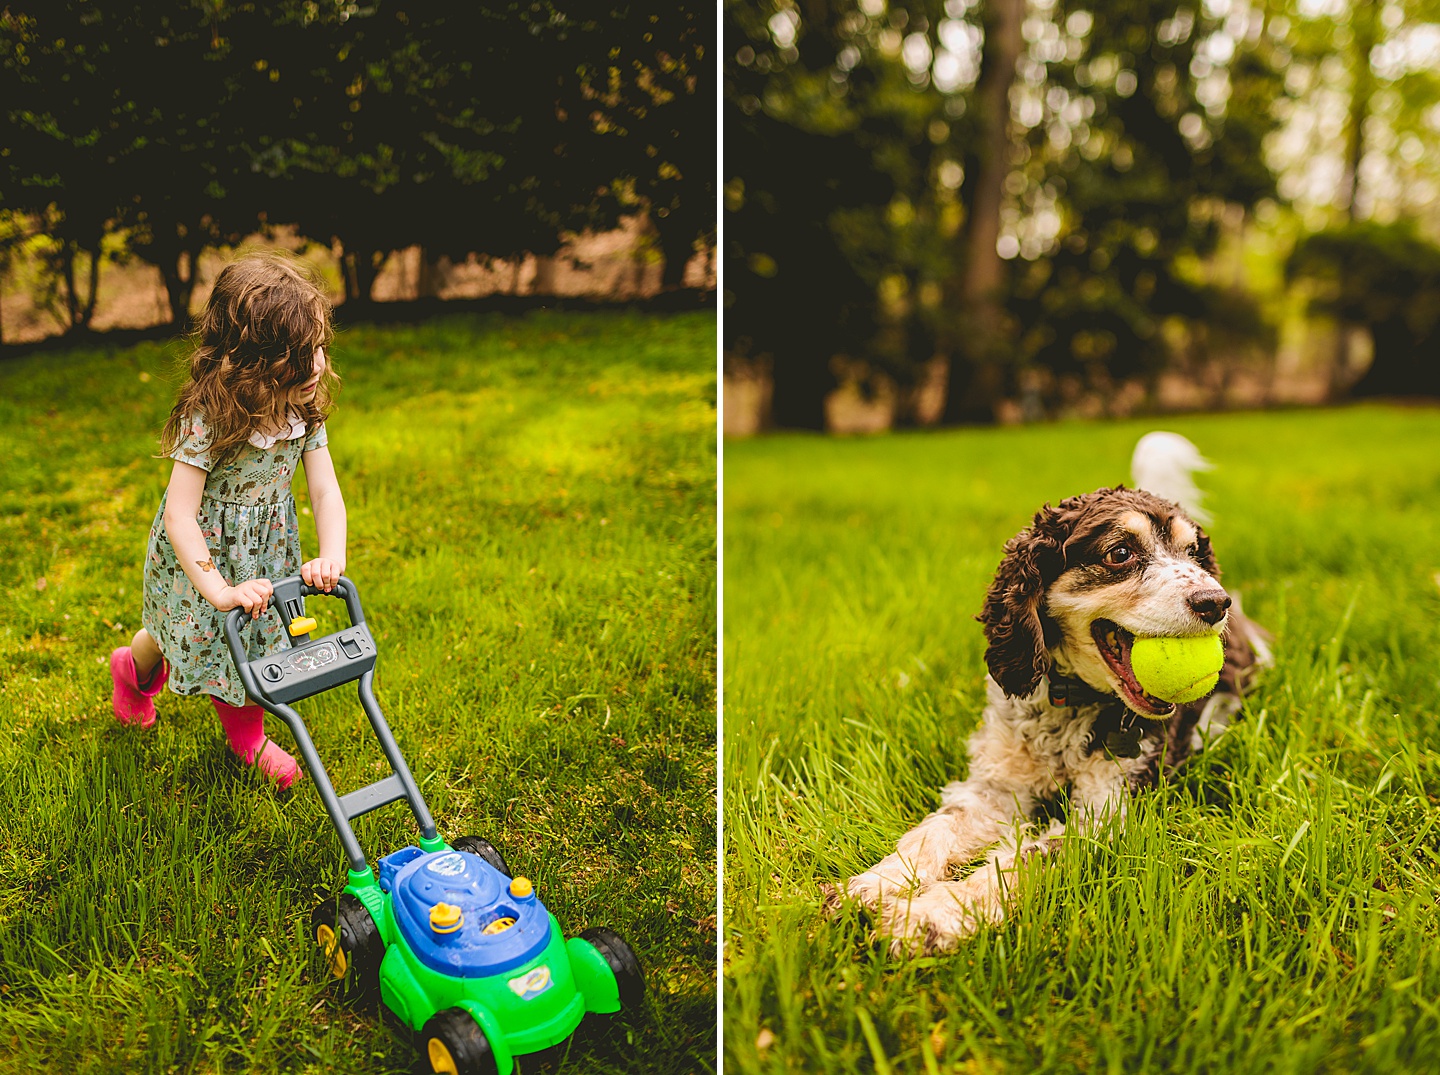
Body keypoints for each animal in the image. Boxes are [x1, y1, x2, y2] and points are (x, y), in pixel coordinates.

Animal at [829, 431, 1267, 955]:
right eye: (1120, 553)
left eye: (1194, 554)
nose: (1214, 602)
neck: (1071, 703)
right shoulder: (996, 785)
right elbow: (937, 828)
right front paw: (875, 884)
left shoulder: (1108, 811)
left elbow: (1027, 857)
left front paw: (930, 914)